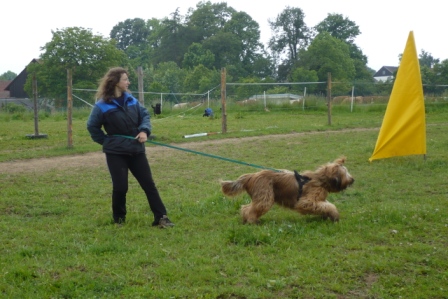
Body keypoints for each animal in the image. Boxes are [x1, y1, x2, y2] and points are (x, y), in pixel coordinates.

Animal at [220, 158, 354, 224]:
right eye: (346, 172)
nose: (353, 179)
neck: (320, 179)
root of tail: (251, 176)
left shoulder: (318, 200)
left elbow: (326, 206)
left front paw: (329, 215)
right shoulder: (306, 201)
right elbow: (328, 206)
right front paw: (334, 216)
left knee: (245, 208)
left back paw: (246, 219)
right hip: (265, 197)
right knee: (251, 209)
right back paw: (252, 221)